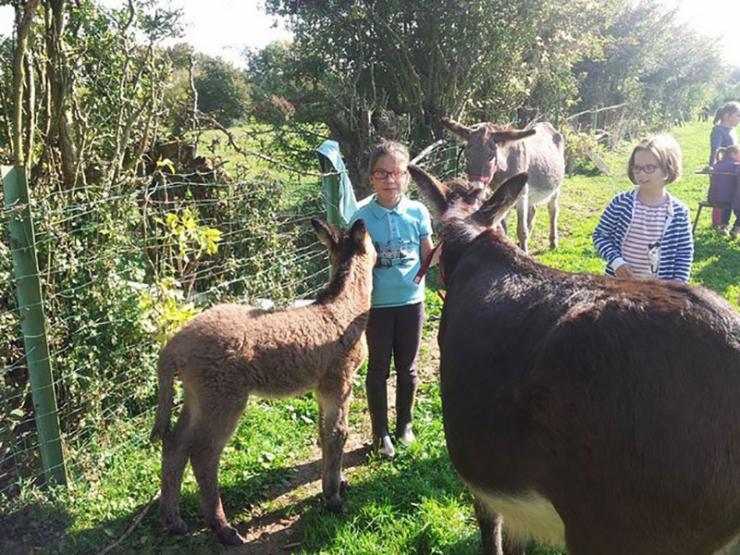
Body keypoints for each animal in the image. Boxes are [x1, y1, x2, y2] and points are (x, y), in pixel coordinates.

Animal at [149, 219, 376, 544]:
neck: (342, 309)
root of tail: (173, 346)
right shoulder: (339, 381)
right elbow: (338, 434)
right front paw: (332, 499)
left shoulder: (321, 387)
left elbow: (324, 433)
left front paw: (337, 483)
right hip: (224, 396)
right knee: (204, 455)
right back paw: (223, 529)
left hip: (196, 396)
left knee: (175, 444)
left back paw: (173, 521)